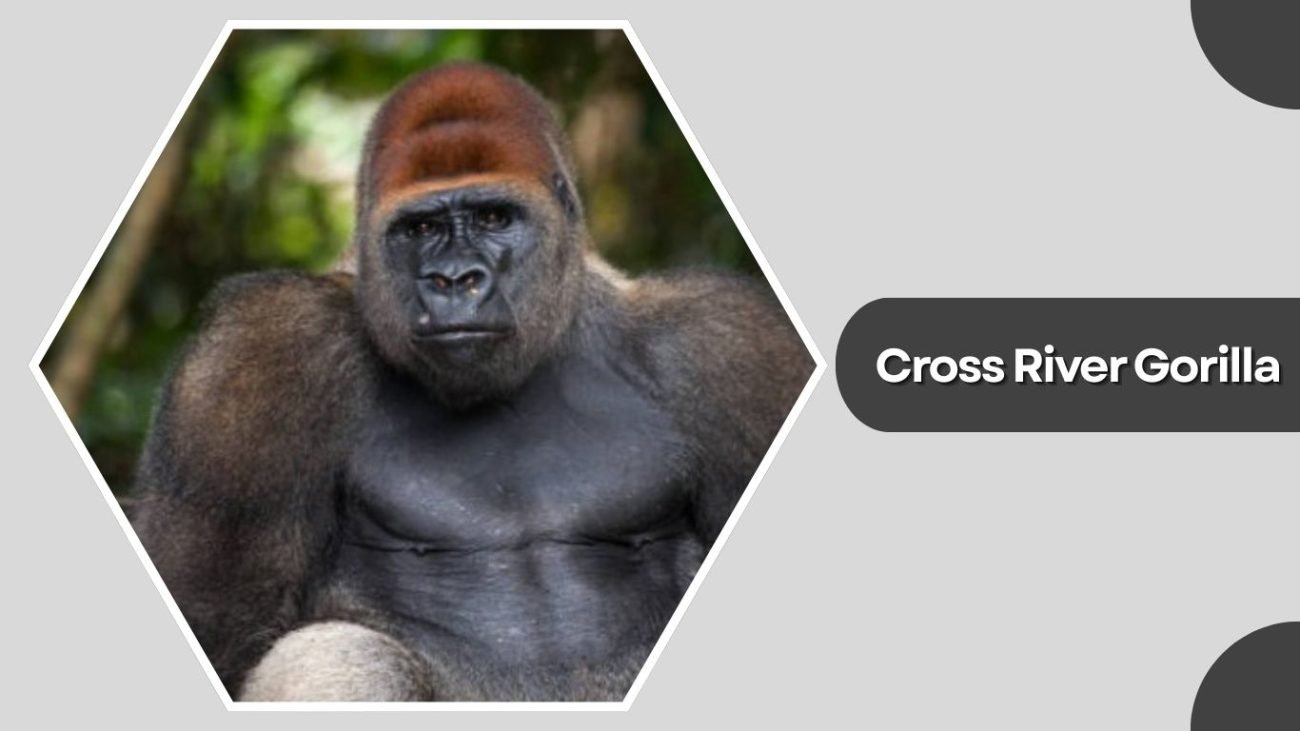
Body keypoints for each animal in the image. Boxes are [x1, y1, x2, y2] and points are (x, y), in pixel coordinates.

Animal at [128, 62, 812, 702]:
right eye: (422, 228)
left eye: (492, 217)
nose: (455, 280)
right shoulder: (259, 354)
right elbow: (216, 624)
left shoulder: (732, 346)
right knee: (342, 654)